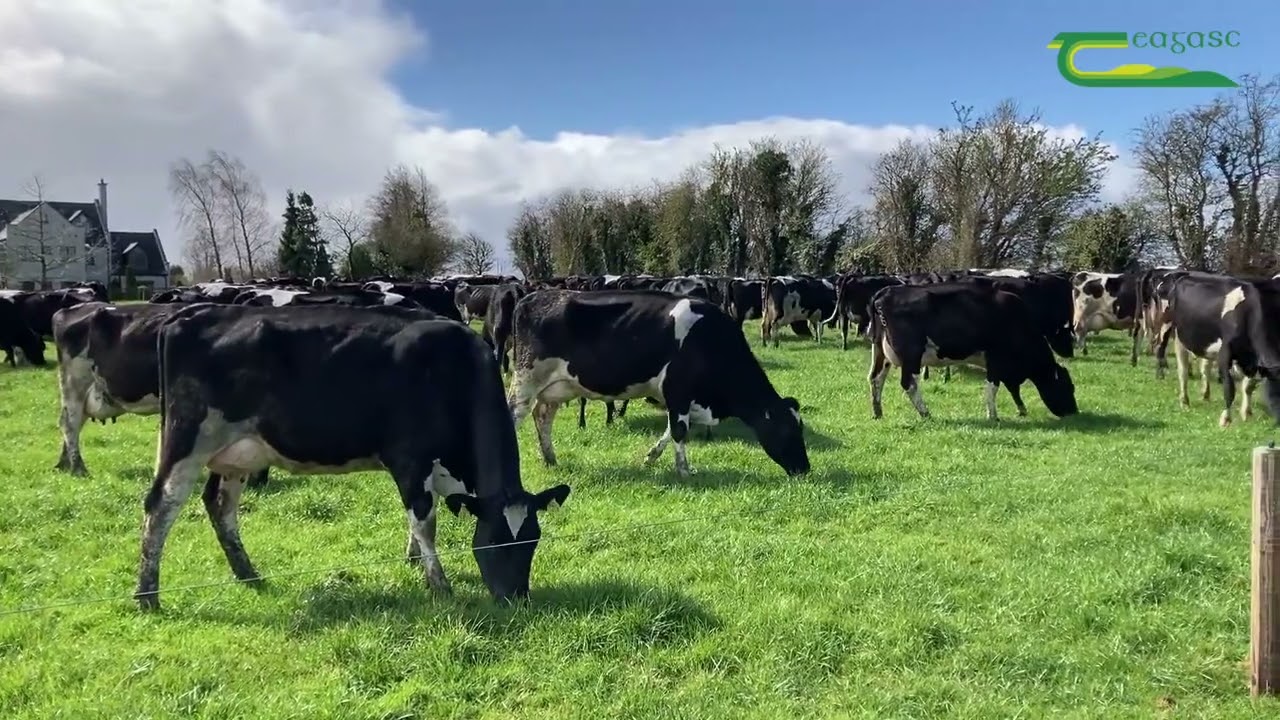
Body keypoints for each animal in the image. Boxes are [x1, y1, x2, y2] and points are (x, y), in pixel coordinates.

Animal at [134, 303, 571, 611]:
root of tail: (189, 315)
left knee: (220, 506)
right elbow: (424, 522)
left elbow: (416, 521)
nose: (514, 598)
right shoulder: (408, 461)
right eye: (491, 540)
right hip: (187, 439)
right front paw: (439, 585)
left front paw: (414, 561)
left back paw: (249, 576)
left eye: (533, 539)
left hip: (237, 453)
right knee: (161, 505)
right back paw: (147, 595)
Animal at [507, 289, 810, 477]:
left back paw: (550, 459)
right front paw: (684, 470)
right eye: (787, 430)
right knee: (515, 415)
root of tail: (534, 297)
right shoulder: (678, 389)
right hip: (526, 379)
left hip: (555, 388)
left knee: (542, 417)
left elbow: (671, 430)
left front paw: (651, 457)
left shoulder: (682, 399)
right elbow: (679, 431)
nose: (805, 468)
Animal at [866, 283, 1079, 421]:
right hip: (912, 355)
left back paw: (878, 412)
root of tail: (886, 291)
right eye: (1068, 387)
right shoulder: (996, 359)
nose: (1074, 412)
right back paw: (925, 413)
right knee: (909, 383)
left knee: (876, 378)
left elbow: (1012, 388)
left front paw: (1022, 409)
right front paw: (993, 416)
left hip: (881, 352)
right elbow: (993, 387)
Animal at [1152, 274, 1280, 427]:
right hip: (1170, 329)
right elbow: (1229, 389)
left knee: (1203, 367)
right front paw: (1225, 419)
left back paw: (1205, 395)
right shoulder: (1225, 354)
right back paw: (1183, 400)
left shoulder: (1253, 362)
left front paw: (1246, 413)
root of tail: (1180, 274)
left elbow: (1249, 386)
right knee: (1179, 367)